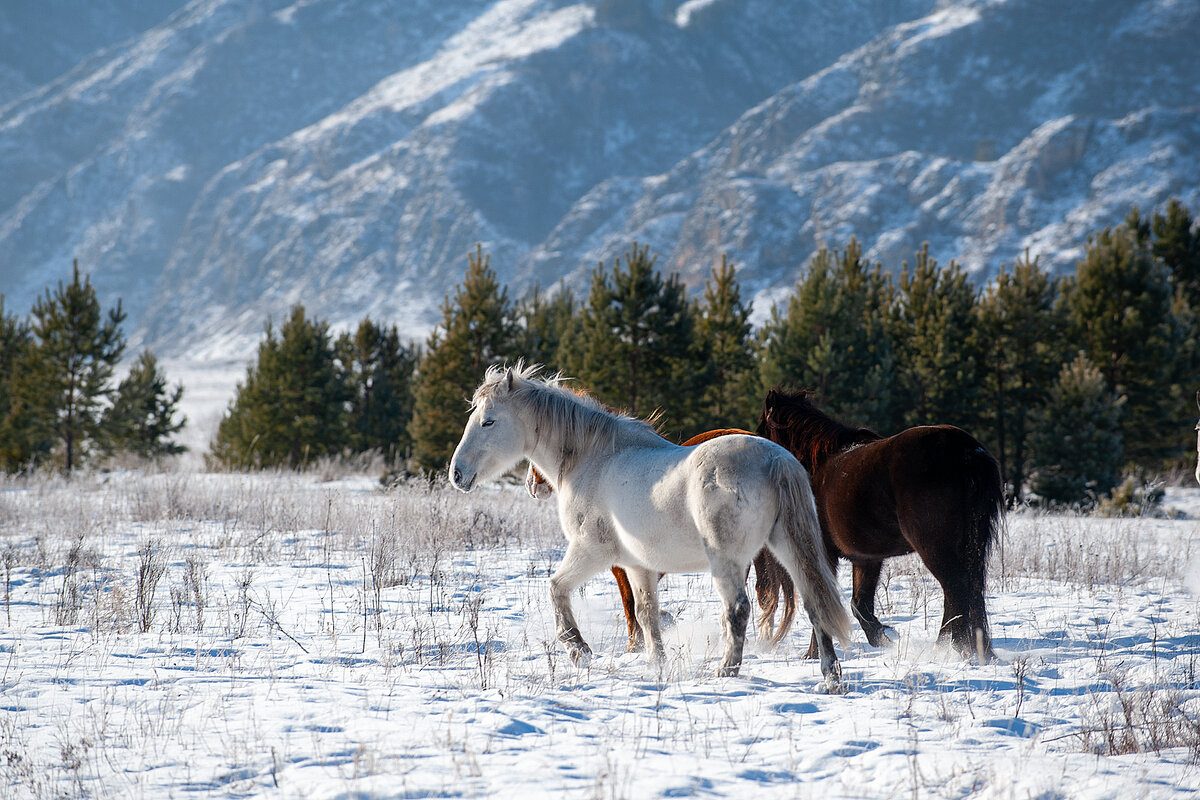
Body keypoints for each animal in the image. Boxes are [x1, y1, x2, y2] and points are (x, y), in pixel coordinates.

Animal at [451, 364, 854, 690]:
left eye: (488, 421)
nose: (457, 474)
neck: (594, 458)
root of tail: (775, 460)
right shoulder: (637, 565)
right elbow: (646, 614)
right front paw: (656, 665)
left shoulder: (591, 551)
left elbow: (556, 589)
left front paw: (578, 649)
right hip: (787, 546)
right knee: (814, 600)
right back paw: (830, 677)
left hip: (728, 560)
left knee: (738, 609)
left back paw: (727, 671)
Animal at [758, 383, 1003, 662]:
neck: (816, 465)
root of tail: (968, 452)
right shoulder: (866, 558)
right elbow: (859, 604)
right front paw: (881, 639)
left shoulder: (826, 554)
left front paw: (813, 654)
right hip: (970, 545)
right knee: (969, 590)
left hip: (934, 546)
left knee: (956, 589)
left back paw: (950, 648)